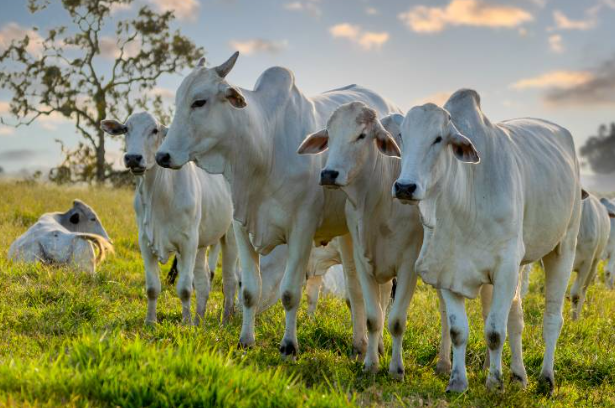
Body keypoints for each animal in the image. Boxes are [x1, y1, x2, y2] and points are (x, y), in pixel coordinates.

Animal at [101, 111, 238, 326]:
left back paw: (224, 320)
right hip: (202, 243)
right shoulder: (145, 241)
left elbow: (185, 288)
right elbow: (152, 287)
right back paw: (199, 319)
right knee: (203, 281)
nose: (133, 158)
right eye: (126, 129)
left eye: (155, 130)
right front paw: (150, 321)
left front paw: (186, 324)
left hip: (230, 236)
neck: (157, 194)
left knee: (230, 281)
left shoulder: (187, 242)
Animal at [156, 52, 402, 358]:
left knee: (376, 292)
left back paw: (373, 347)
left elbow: (289, 293)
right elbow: (250, 290)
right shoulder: (241, 227)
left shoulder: (301, 230)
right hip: (348, 233)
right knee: (356, 289)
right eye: (178, 100)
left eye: (199, 101)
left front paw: (288, 346)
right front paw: (245, 340)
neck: (265, 145)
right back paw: (360, 344)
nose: (162, 156)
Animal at [392, 88, 584, 392]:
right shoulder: (446, 269)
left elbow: (494, 332)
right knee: (516, 316)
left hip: (563, 248)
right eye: (402, 135)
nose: (404, 187)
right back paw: (519, 375)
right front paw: (458, 381)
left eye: (438, 138)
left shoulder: (505, 268)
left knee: (552, 319)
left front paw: (494, 382)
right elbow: (458, 330)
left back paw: (546, 378)